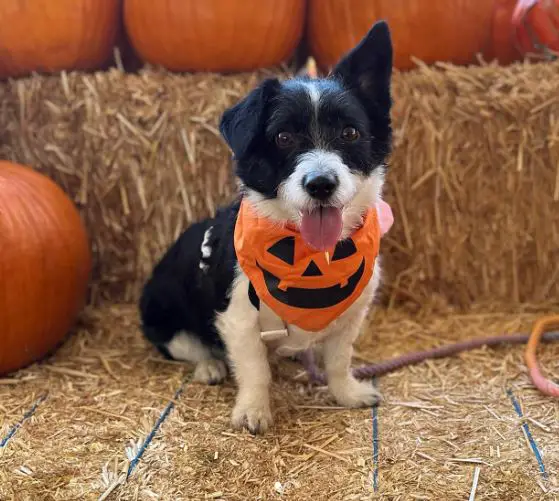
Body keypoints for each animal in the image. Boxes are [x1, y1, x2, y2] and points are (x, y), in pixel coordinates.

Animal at [140, 21, 394, 432]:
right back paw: (209, 365)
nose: (320, 184)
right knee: (187, 346)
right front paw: (254, 411)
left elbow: (338, 362)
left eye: (350, 133)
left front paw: (347, 394)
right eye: (283, 137)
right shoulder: (238, 320)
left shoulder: (349, 319)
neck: (309, 253)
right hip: (162, 314)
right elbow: (255, 370)